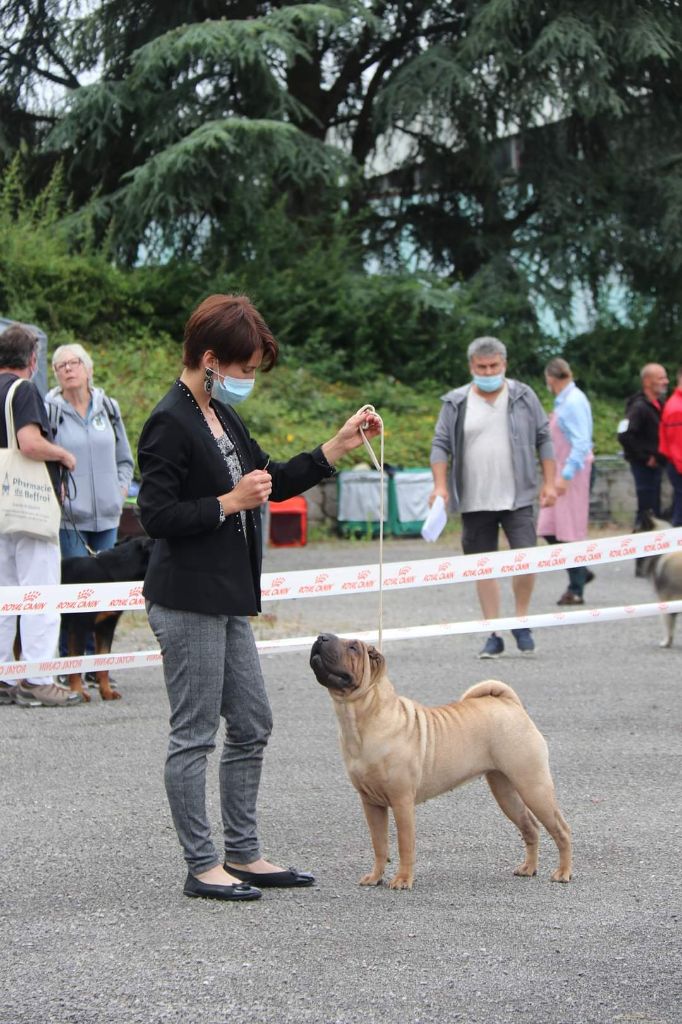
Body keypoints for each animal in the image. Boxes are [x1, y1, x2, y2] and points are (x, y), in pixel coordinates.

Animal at [60, 540, 152, 700]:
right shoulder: (79, 627)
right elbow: (76, 663)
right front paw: (78, 692)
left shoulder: (106, 626)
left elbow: (103, 662)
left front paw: (107, 692)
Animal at [311, 630, 569, 888]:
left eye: (353, 647)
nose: (322, 637)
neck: (358, 719)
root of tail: (510, 703)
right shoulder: (371, 804)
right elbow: (379, 845)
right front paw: (375, 877)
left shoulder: (402, 801)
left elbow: (405, 845)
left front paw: (403, 880)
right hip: (505, 790)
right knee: (530, 827)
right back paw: (528, 868)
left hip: (533, 786)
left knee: (561, 829)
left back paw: (563, 873)